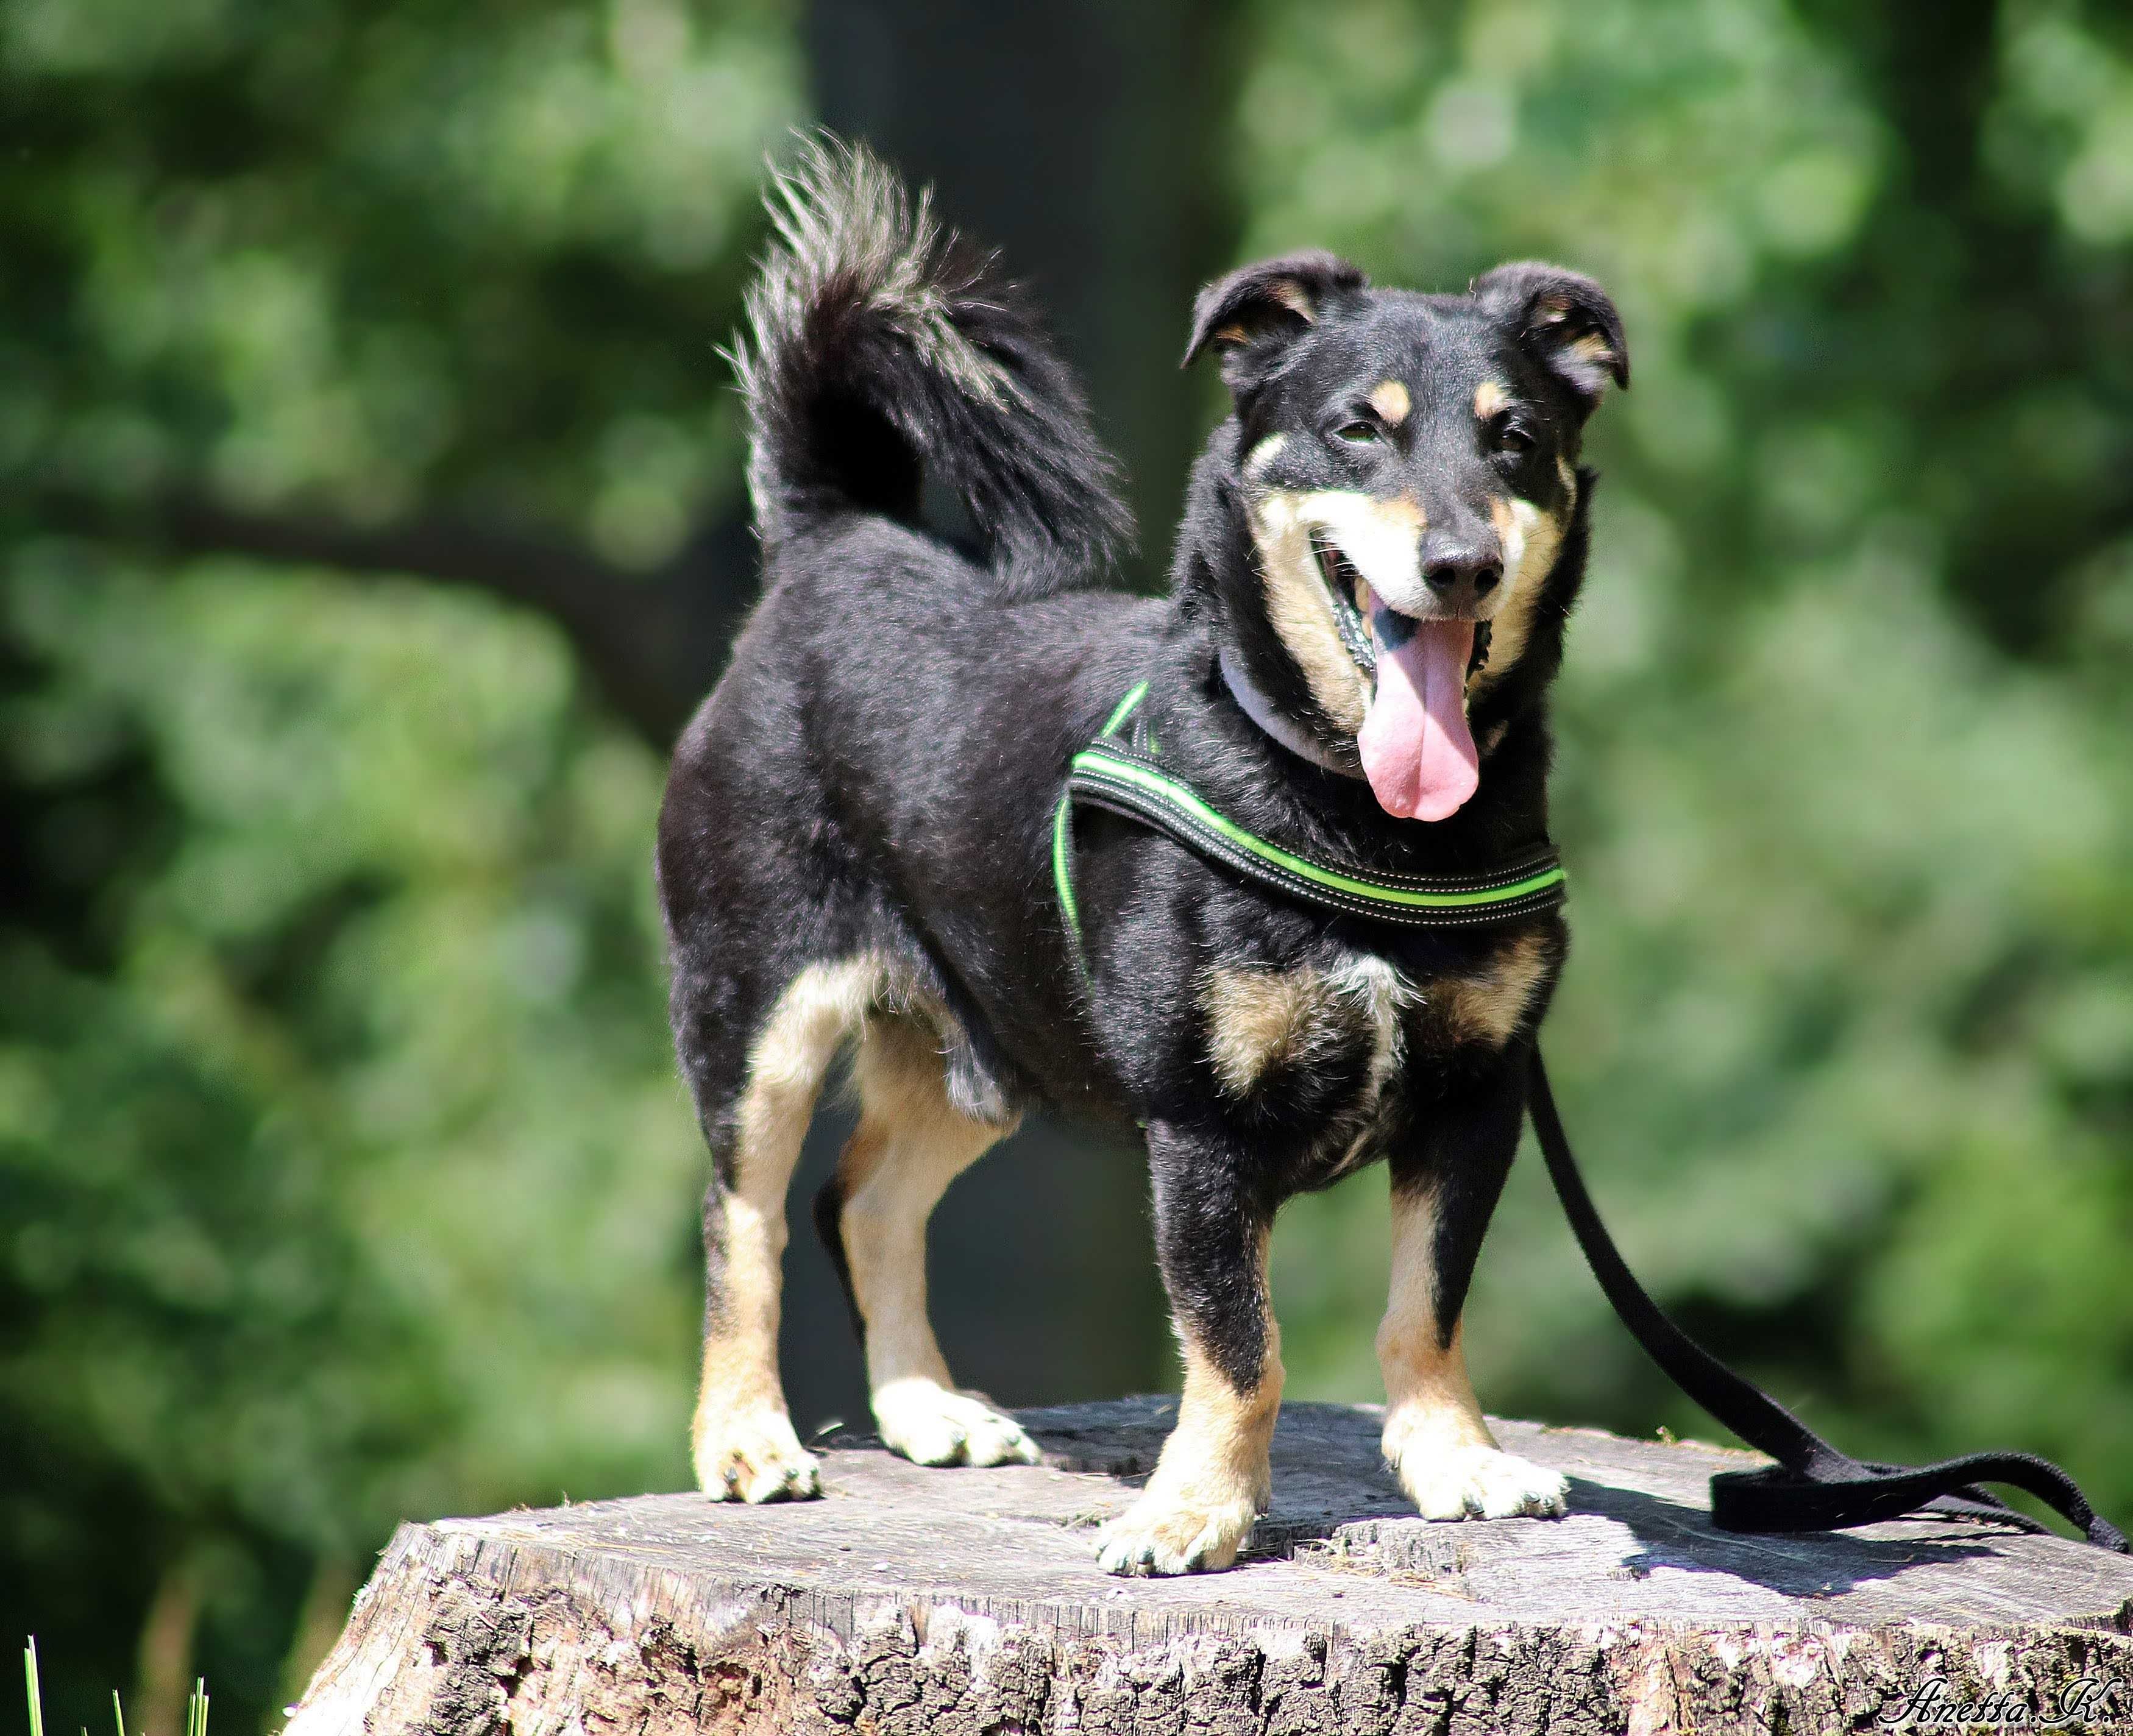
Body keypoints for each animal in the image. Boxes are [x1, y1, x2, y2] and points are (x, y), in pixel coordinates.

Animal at [657, 143, 1621, 1587]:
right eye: (1359, 427)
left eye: (1517, 438)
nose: (1463, 561)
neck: (1344, 801)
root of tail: (835, 547)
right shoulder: (1202, 1129)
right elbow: (1239, 1345)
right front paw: (1195, 1510)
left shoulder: (1474, 1096)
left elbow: (1426, 1306)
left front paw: (1455, 1459)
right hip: (758, 1008)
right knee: (747, 1220)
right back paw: (745, 1437)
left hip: (992, 1041)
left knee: (861, 1201)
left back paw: (929, 1410)